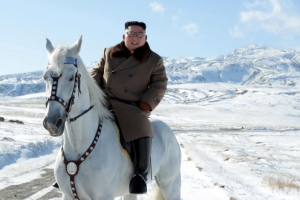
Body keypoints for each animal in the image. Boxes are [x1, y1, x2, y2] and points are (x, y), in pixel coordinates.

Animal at [43, 36, 182, 200]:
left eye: (71, 78)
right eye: (45, 77)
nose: (52, 123)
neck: (78, 145)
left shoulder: (104, 196)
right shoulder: (68, 195)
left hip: (170, 184)